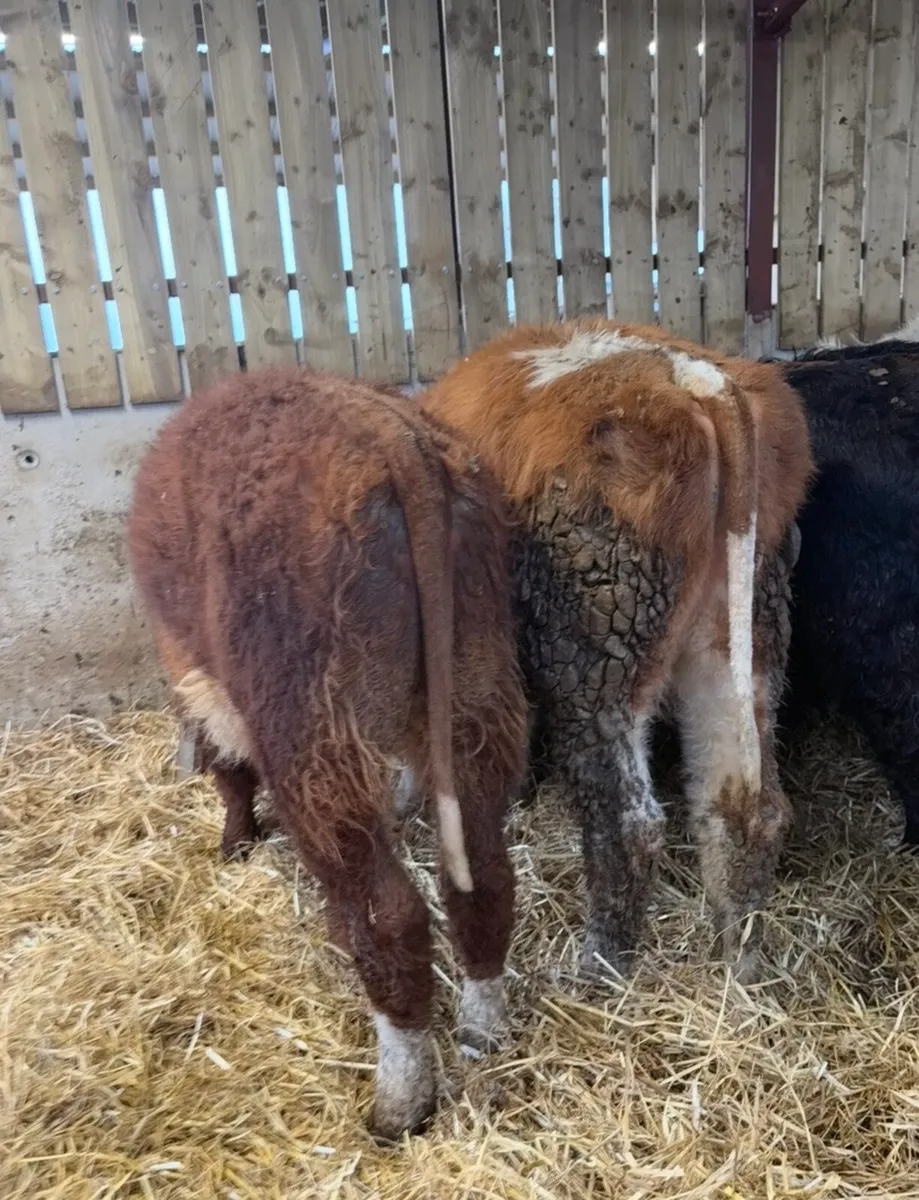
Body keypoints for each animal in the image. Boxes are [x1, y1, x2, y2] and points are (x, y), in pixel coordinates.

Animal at [127, 368, 528, 1140]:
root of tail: (397, 441)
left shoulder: (198, 674)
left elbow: (228, 769)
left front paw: (234, 843)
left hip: (316, 738)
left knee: (388, 914)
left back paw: (399, 1102)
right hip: (477, 695)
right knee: (482, 879)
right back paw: (481, 1031)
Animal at [422, 321, 812, 983]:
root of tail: (691, 380)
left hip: (596, 654)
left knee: (631, 824)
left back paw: (600, 968)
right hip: (747, 631)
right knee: (743, 804)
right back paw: (741, 961)